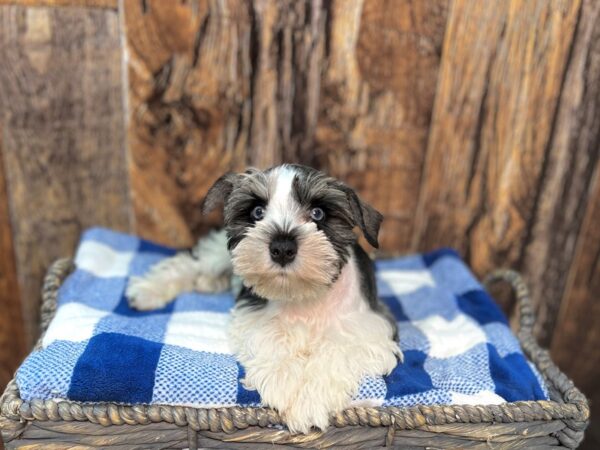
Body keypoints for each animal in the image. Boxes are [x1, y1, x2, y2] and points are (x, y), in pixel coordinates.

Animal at [125, 164, 404, 432]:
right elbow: (272, 336)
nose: (282, 248)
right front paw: (284, 381)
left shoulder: (368, 328)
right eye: (257, 212)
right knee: (189, 264)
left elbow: (336, 349)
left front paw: (309, 400)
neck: (303, 295)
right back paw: (149, 291)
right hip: (216, 254)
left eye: (318, 214)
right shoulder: (252, 314)